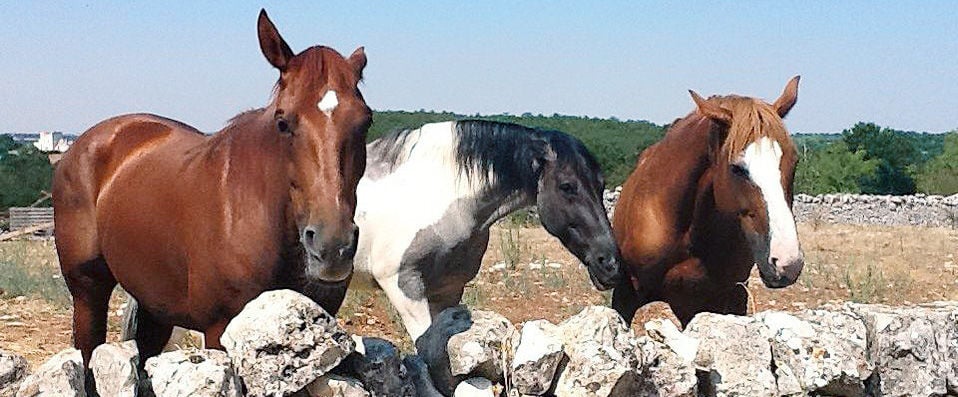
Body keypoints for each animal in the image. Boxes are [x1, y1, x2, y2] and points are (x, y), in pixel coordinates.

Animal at [51, 9, 376, 380]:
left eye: (365, 121)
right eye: (283, 122)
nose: (333, 246)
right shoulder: (219, 331)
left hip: (155, 303)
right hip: (87, 292)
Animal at [352, 119, 624, 338]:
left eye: (601, 186)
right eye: (567, 186)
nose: (610, 264)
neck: (436, 193)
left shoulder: (449, 289)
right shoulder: (404, 287)